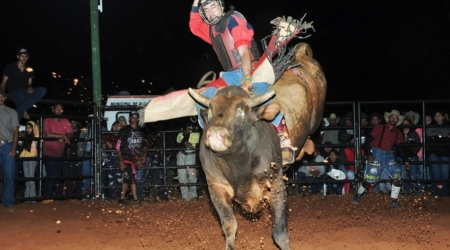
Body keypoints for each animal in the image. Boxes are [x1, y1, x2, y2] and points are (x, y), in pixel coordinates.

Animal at [139, 16, 326, 249]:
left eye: (242, 111)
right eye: (210, 111)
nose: (216, 134)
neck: (238, 164)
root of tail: (300, 56)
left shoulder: (275, 184)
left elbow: (280, 231)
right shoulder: (216, 187)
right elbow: (229, 225)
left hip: (316, 115)